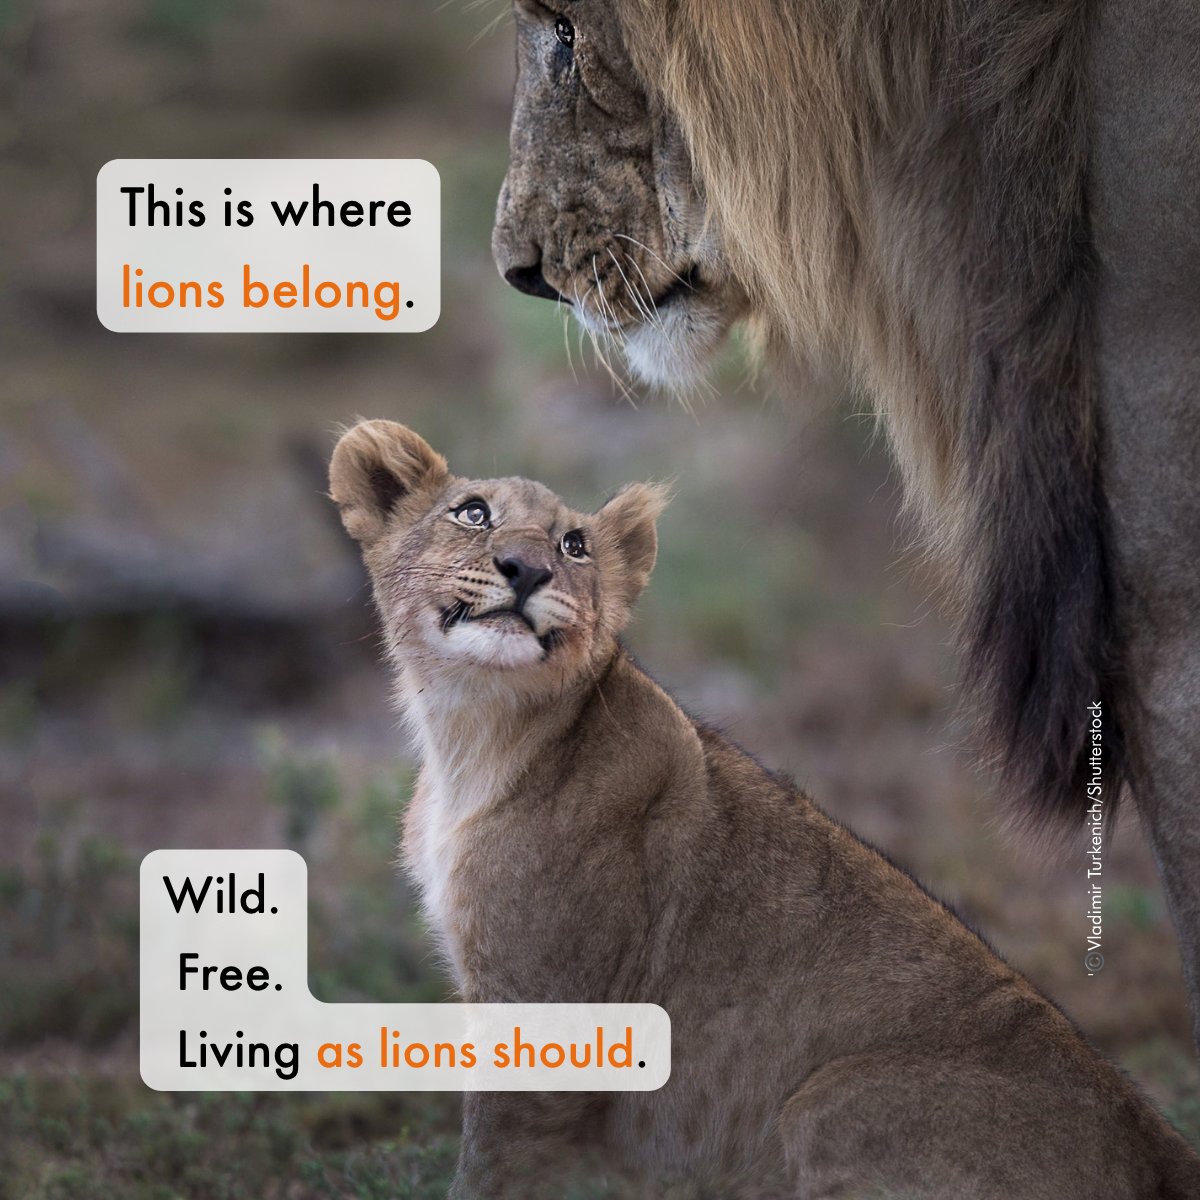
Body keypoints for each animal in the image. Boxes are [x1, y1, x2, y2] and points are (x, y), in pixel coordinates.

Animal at [329, 418, 1200, 1200]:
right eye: (472, 513)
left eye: (574, 545)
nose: (527, 568)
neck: (473, 732)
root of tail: (1157, 1144)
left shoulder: (546, 1015)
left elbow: (489, 1165)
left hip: (829, 1102)